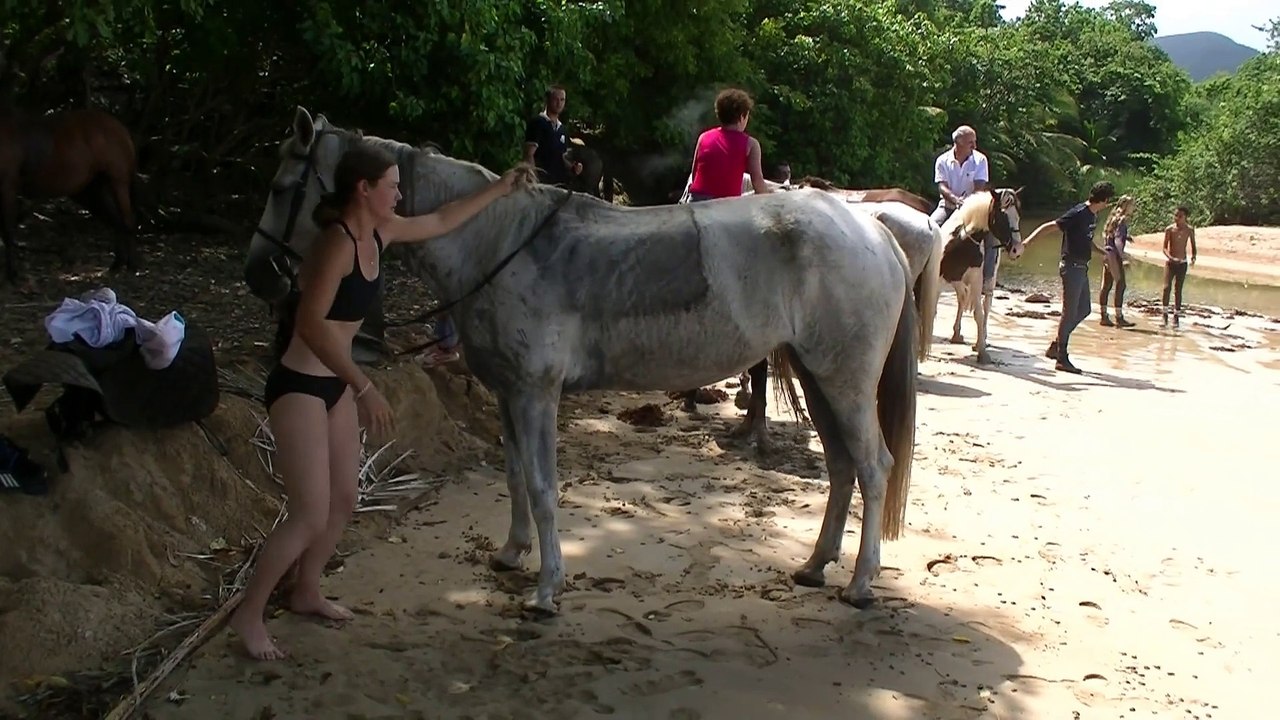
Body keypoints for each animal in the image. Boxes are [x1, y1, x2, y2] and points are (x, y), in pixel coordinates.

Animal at [0, 106, 142, 284]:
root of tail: (121, 129)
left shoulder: (8, 187)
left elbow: (7, 232)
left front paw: (12, 275)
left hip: (117, 182)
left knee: (128, 221)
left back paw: (132, 267)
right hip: (97, 189)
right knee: (117, 221)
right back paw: (116, 265)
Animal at [245, 106, 921, 614]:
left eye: (280, 188)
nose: (260, 275)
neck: (500, 243)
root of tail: (872, 230)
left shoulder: (535, 393)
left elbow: (544, 486)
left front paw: (547, 591)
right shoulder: (507, 393)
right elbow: (516, 476)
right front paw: (512, 554)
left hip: (844, 381)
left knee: (873, 467)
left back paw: (861, 584)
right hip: (817, 375)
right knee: (842, 467)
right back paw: (815, 565)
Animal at [937, 189, 1024, 364]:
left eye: (1018, 215)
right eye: (1002, 215)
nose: (1017, 250)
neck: (961, 242)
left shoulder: (976, 281)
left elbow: (979, 314)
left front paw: (982, 353)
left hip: (988, 282)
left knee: (986, 306)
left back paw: (979, 340)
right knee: (962, 299)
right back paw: (956, 335)